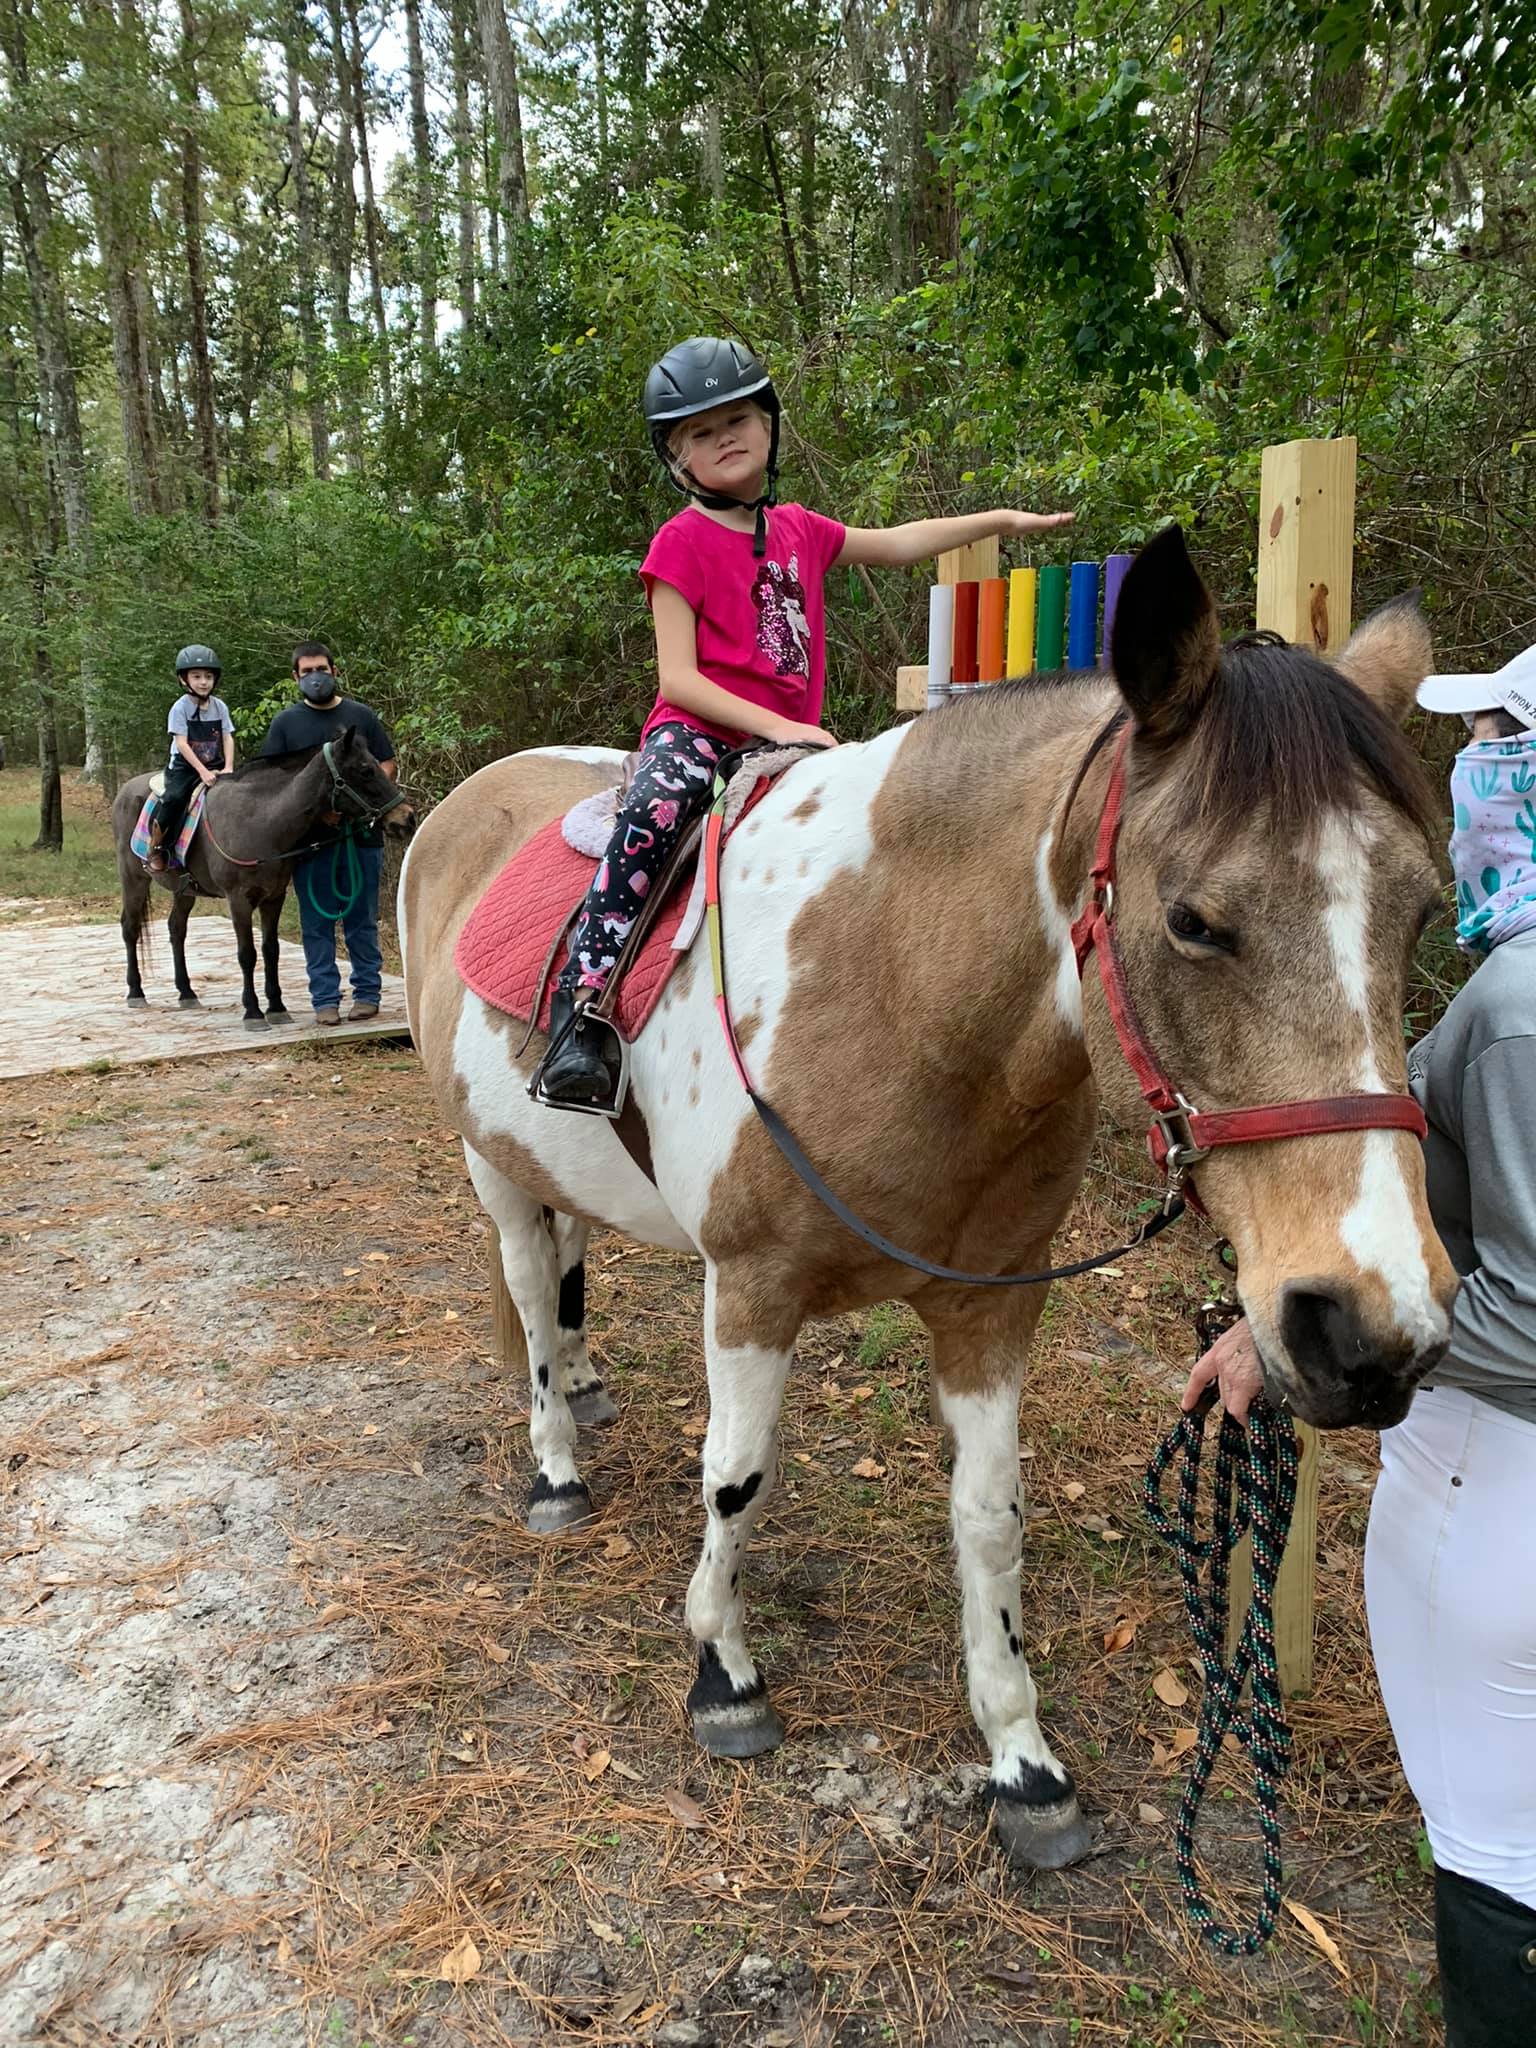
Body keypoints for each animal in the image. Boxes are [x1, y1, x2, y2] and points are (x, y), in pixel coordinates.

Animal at [397, 528, 1458, 1875]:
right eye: (1193, 920)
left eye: (1422, 911)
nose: (1375, 1329)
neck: (894, 978)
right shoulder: (751, 1285)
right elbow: (736, 1477)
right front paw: (724, 1672)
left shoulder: (990, 1307)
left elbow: (992, 1515)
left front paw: (1023, 1758)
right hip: (488, 1160)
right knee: (534, 1292)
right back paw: (555, 1463)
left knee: (570, 1259)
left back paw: (583, 1389)